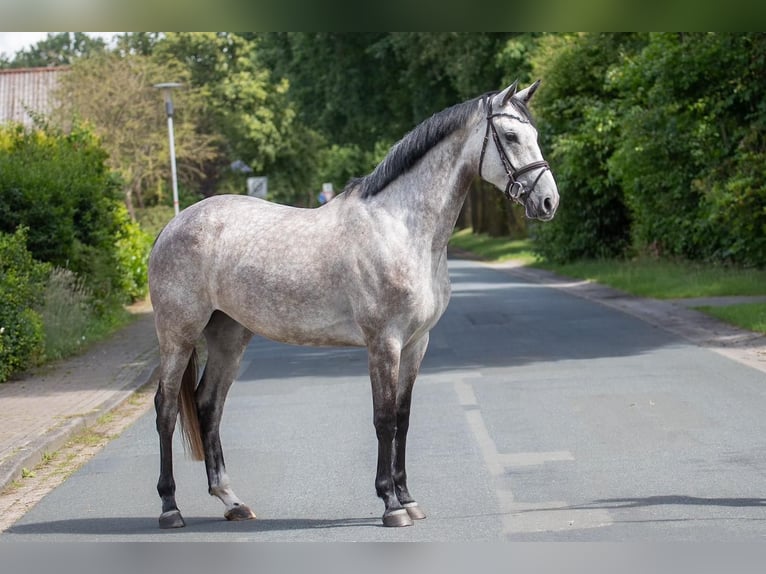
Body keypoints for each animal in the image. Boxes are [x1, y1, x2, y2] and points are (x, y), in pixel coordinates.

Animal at [148, 80, 560, 532]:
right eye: (510, 136)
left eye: (535, 134)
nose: (548, 202)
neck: (401, 227)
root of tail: (172, 226)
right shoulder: (384, 342)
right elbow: (384, 419)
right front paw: (391, 505)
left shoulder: (416, 343)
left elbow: (403, 418)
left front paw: (408, 498)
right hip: (179, 335)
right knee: (167, 409)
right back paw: (170, 508)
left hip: (229, 335)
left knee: (208, 406)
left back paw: (232, 502)